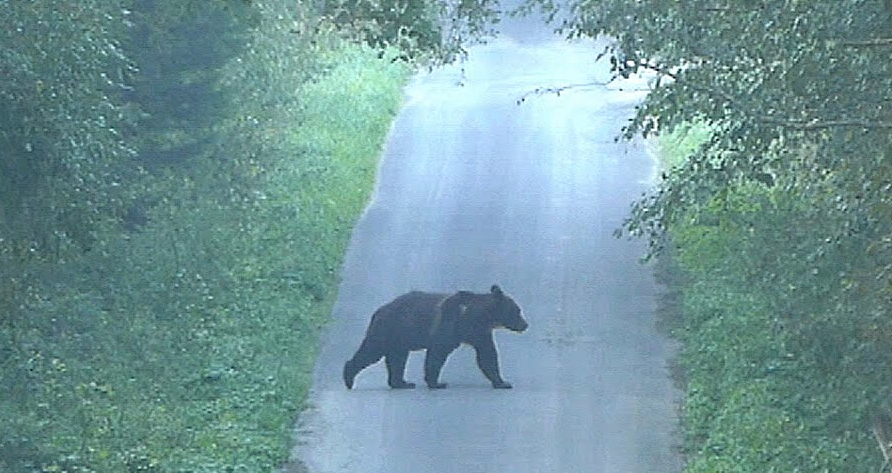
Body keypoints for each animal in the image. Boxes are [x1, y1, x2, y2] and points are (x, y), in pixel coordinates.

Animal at [340, 284, 524, 388]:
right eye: (517, 311)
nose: (525, 324)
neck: (476, 316)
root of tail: (379, 310)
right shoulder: (449, 323)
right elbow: (438, 352)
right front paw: (437, 382)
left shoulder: (479, 332)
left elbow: (487, 355)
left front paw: (502, 382)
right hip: (388, 328)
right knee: (372, 350)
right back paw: (349, 376)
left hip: (399, 337)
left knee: (397, 358)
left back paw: (402, 383)